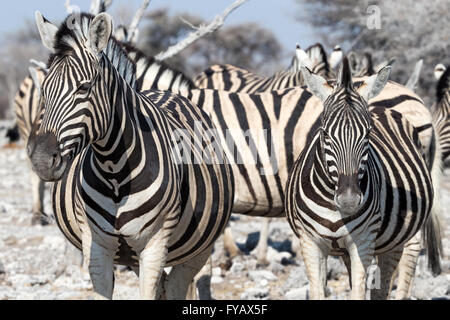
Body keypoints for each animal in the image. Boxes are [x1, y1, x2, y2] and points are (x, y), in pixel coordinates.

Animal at [28, 10, 234, 300]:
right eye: (44, 90)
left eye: (84, 88)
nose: (42, 161)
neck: (113, 169)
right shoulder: (98, 248)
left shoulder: (155, 246)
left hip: (197, 249)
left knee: (179, 285)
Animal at [284, 57, 442, 300]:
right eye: (324, 133)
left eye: (368, 133)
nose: (349, 201)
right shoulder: (310, 242)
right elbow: (319, 290)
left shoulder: (363, 241)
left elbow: (359, 291)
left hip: (396, 237)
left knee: (396, 269)